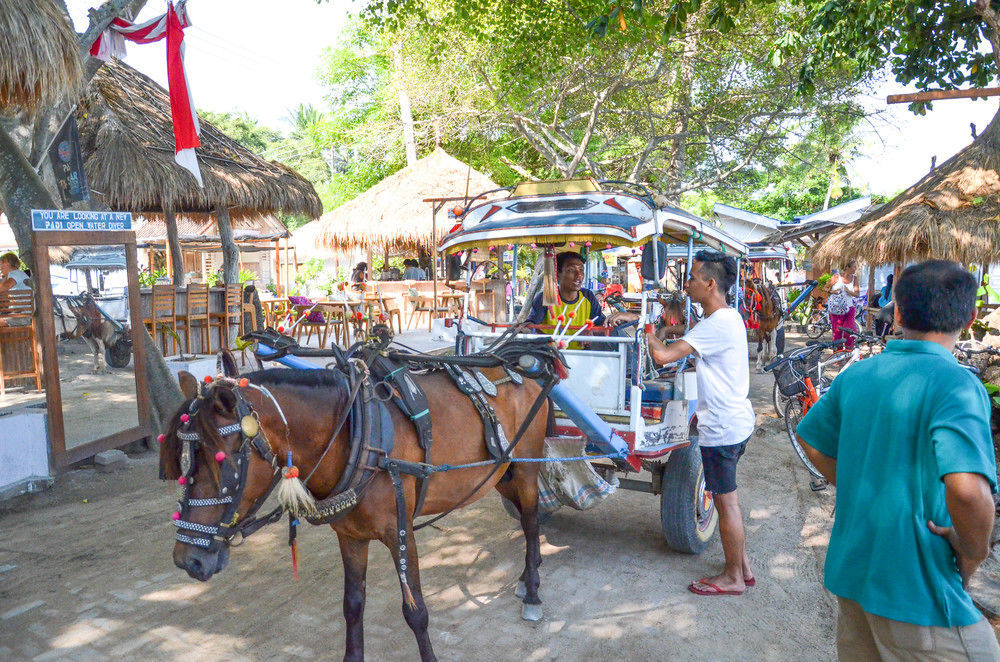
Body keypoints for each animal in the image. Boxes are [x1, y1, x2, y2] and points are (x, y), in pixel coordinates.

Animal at [161, 352, 552, 660]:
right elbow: (352, 606)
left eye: (223, 462)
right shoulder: (350, 535)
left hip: (527, 468)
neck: (356, 434)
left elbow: (416, 611)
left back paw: (533, 592)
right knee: (523, 516)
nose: (186, 560)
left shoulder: (401, 531)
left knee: (532, 521)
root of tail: (518, 367)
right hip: (501, 473)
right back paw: (525, 576)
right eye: (185, 460)